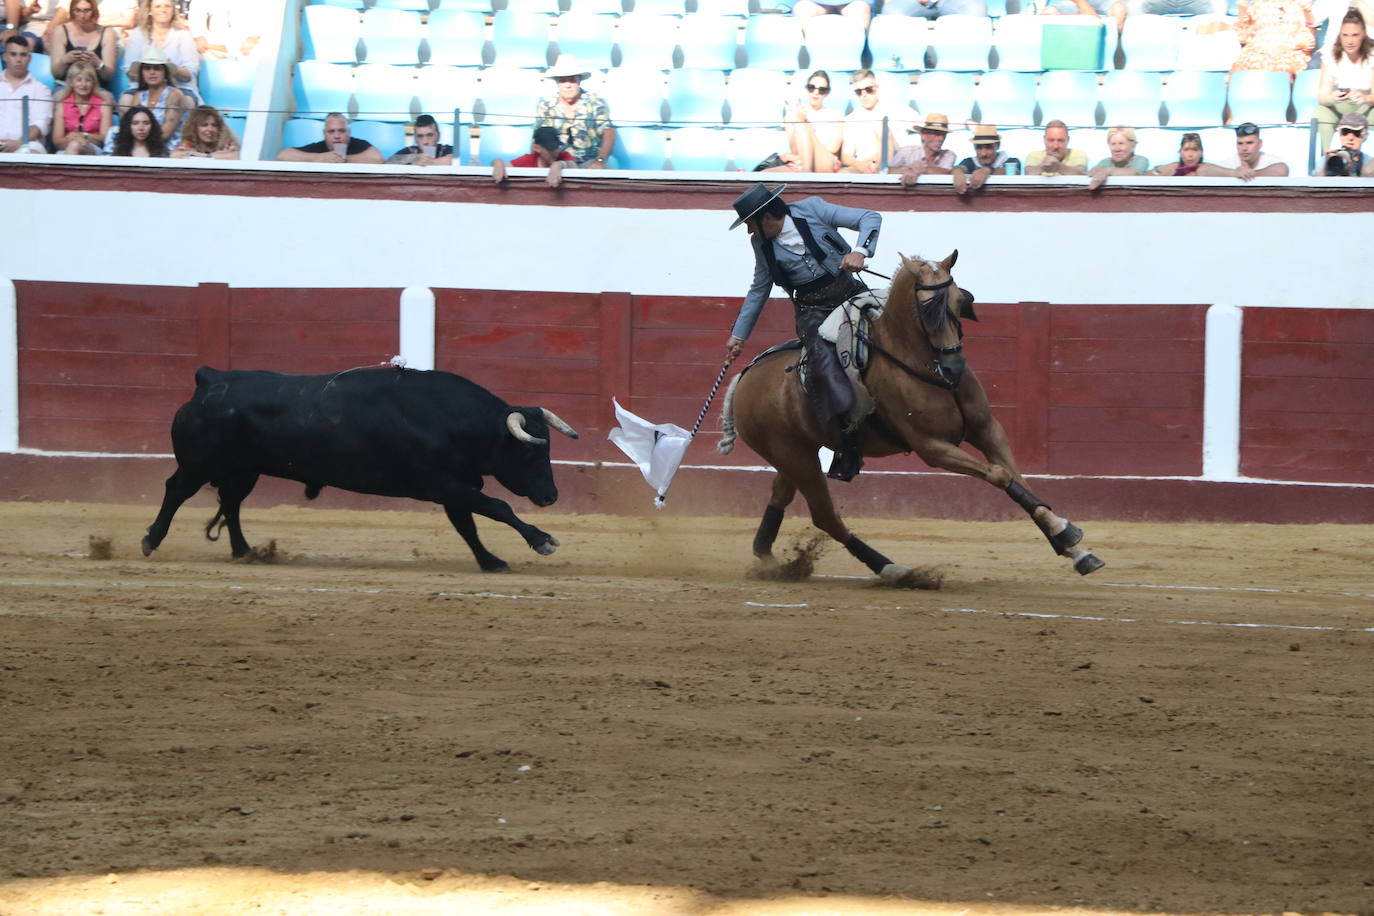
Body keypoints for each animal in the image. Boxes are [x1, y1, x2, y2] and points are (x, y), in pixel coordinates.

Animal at [143, 368, 579, 574]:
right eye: (530, 453)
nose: (551, 496)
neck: (449, 420)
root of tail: (209, 379)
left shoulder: (453, 488)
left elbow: (468, 526)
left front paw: (490, 561)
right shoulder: (445, 484)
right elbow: (497, 508)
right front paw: (542, 540)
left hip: (243, 470)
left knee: (231, 504)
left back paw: (243, 551)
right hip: (199, 464)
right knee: (175, 490)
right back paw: (151, 539)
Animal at [719, 247, 1104, 585]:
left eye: (959, 302)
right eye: (926, 309)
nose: (954, 366)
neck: (925, 366)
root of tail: (744, 376)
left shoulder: (987, 429)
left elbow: (1018, 478)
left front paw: (1072, 544)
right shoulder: (931, 447)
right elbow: (998, 475)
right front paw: (1065, 533)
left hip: (797, 453)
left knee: (780, 495)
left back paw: (768, 558)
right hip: (793, 456)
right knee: (826, 517)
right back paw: (895, 570)